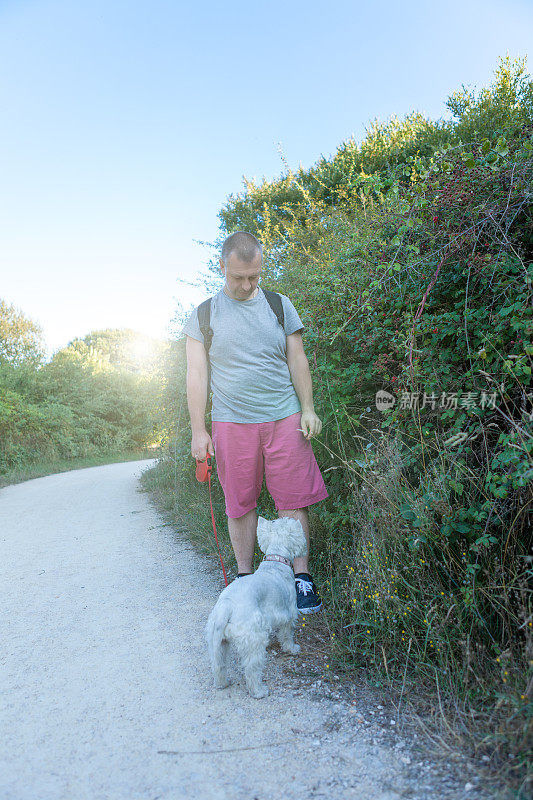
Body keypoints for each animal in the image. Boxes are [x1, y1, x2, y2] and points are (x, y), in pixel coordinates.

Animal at [205, 516, 308, 696]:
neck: (276, 562)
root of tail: (227, 606)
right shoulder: (288, 614)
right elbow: (287, 635)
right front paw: (292, 648)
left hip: (216, 640)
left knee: (218, 665)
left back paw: (222, 684)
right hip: (254, 638)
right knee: (252, 669)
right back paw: (259, 691)